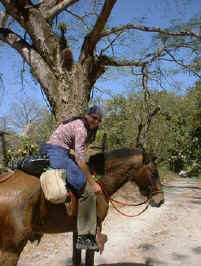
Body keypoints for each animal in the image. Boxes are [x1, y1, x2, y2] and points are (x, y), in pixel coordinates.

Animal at [0, 148, 163, 266]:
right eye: (154, 173)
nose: (160, 200)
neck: (99, 183)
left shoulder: (77, 231)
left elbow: (77, 259)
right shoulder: (94, 231)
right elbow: (89, 260)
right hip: (11, 250)